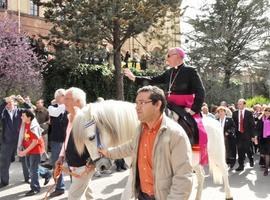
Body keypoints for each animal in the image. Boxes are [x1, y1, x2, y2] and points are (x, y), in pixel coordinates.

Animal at [73, 100, 233, 200]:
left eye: (91, 137)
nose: (101, 166)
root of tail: (214, 121)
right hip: (194, 160)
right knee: (201, 175)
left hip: (216, 155)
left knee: (224, 170)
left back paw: (229, 195)